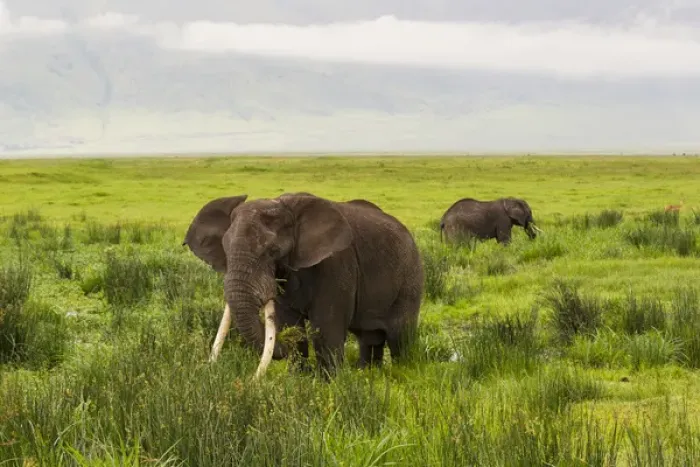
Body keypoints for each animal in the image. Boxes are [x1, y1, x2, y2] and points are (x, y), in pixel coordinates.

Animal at [182, 192, 423, 378]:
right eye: (225, 249)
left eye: (272, 251)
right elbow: (290, 322)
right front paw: (299, 379)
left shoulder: (336, 265)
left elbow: (326, 327)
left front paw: (328, 383)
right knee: (369, 338)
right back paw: (367, 373)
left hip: (410, 277)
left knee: (400, 337)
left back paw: (404, 373)